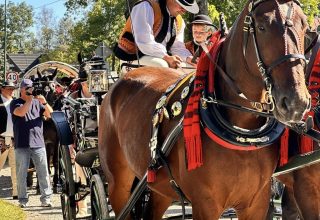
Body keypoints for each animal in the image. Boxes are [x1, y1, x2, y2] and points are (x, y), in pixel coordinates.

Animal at [99, 0, 310, 219]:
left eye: (304, 26)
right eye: (261, 27)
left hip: (159, 188)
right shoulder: (205, 204)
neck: (243, 131)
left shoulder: (256, 204)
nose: (296, 102)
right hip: (118, 184)